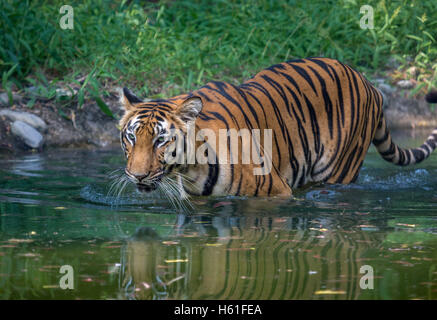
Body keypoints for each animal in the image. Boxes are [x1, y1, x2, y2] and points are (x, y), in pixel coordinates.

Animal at [117, 56, 436, 199]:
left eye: (161, 140)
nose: (137, 175)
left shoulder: (276, 193)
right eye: (131, 137)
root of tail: (371, 84)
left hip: (337, 172)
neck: (191, 168)